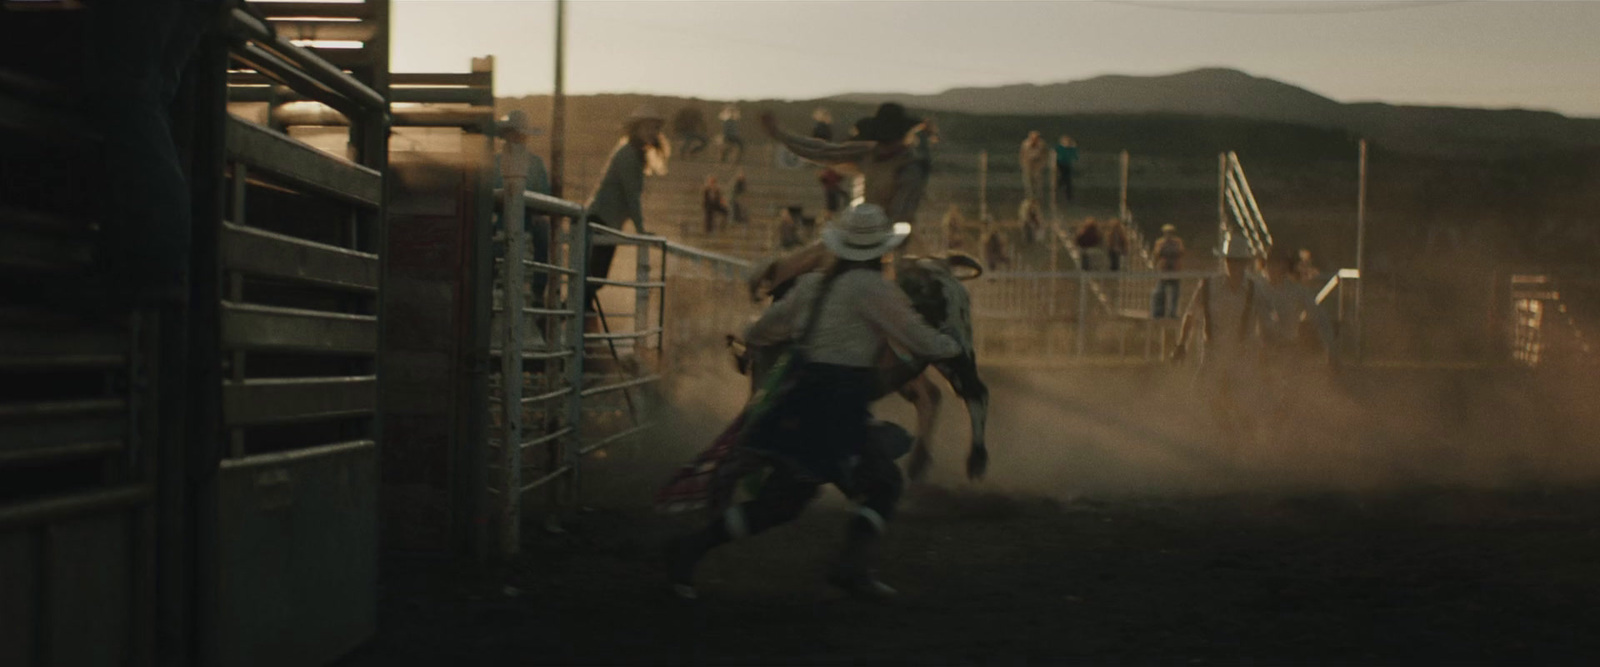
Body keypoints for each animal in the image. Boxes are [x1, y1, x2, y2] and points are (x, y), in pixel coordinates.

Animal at [729, 244, 985, 479]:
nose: (752, 415)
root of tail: (939, 264)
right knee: (931, 395)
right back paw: (918, 462)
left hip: (953, 349)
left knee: (974, 392)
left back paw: (976, 459)